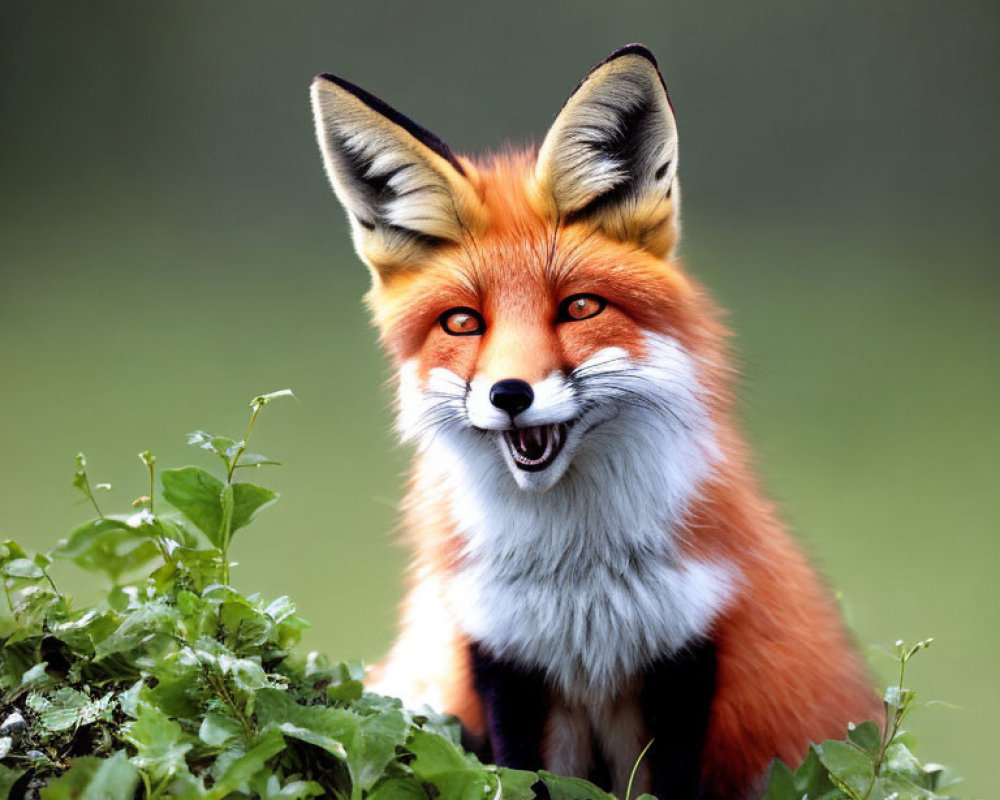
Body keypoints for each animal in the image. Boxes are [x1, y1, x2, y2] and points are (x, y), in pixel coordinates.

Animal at [308, 42, 880, 800]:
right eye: (462, 323)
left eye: (579, 308)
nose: (509, 393)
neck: (577, 575)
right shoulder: (502, 656)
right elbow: (523, 776)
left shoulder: (688, 654)